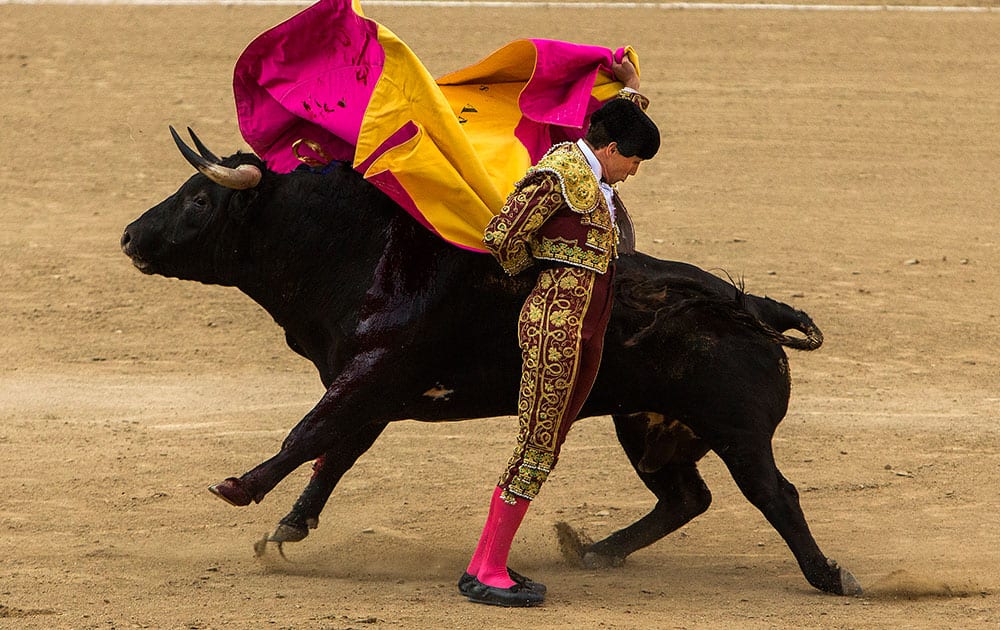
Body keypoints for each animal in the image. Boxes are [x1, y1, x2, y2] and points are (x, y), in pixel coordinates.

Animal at [121, 130, 860, 596]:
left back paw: (832, 578)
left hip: (739, 433)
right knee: (685, 496)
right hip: (646, 424)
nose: (129, 235)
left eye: (198, 198)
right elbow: (333, 454)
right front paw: (286, 527)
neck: (361, 252)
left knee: (774, 495)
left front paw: (240, 489)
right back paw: (592, 550)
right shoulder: (371, 390)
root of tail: (751, 305)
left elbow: (308, 435)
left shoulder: (372, 375)